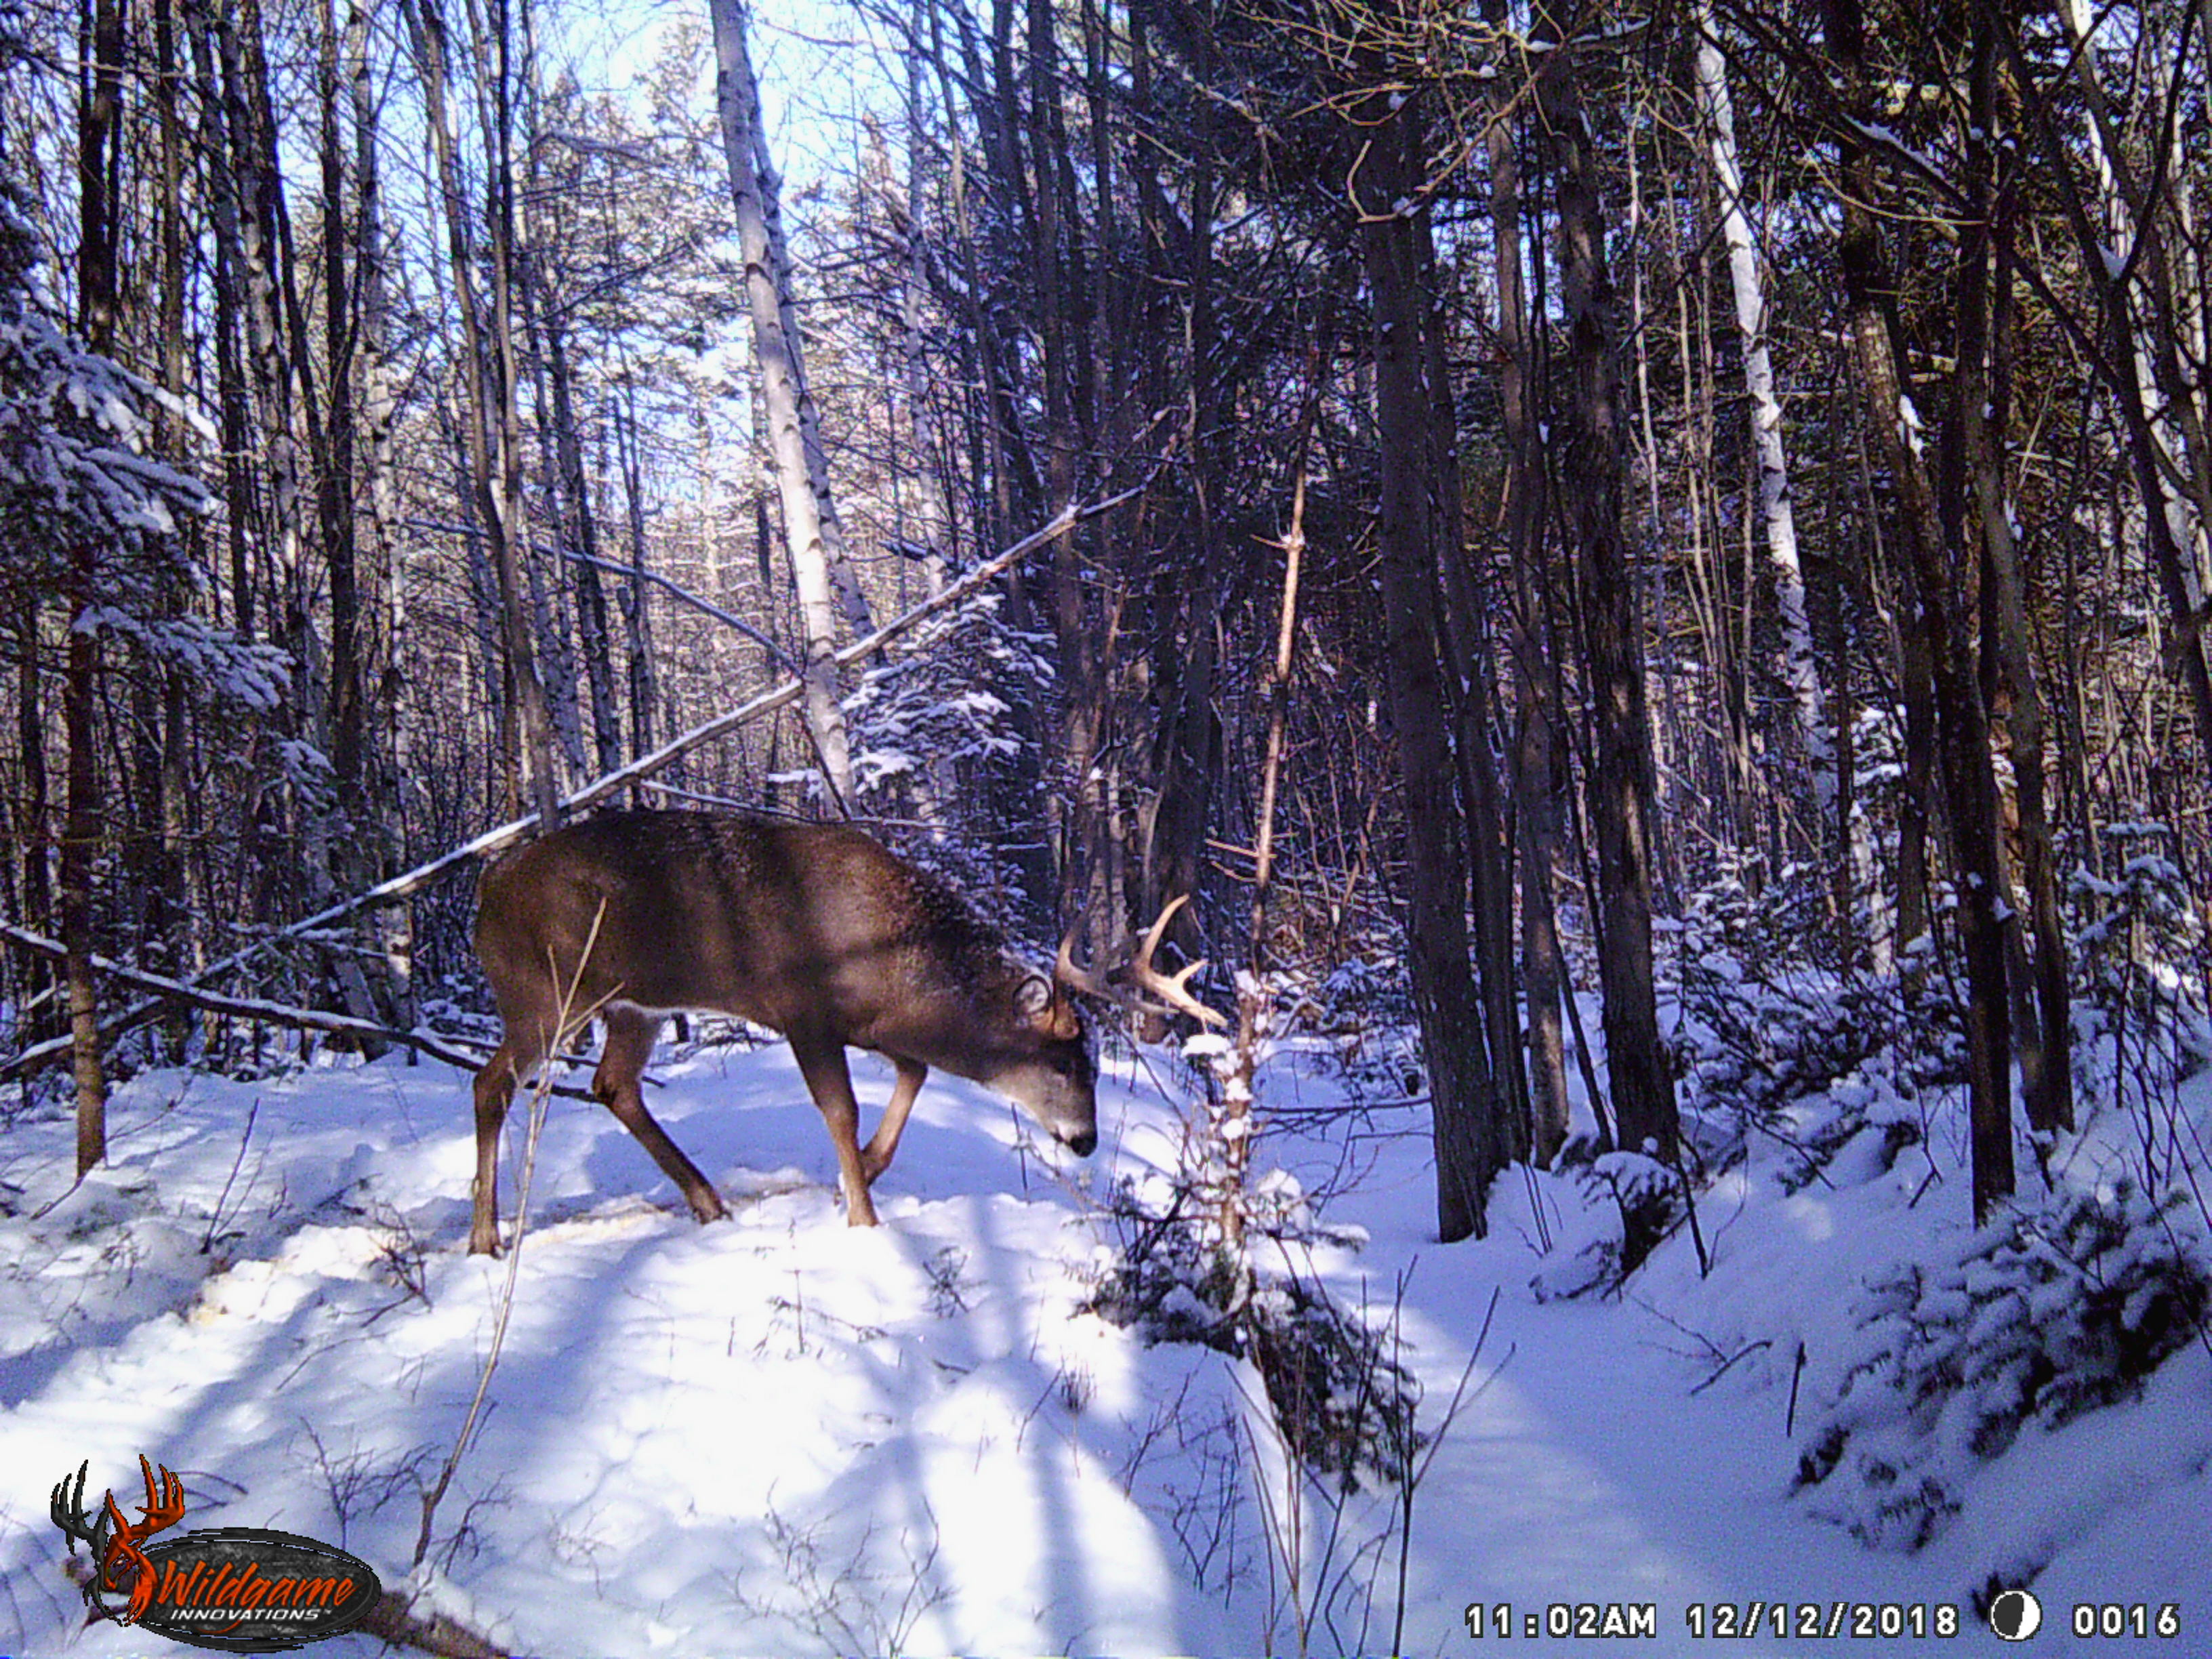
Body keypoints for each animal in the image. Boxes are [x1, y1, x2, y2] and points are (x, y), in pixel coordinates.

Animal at [462, 814, 1212, 1256]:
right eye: (1064, 1065)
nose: (1085, 1141)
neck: (889, 962)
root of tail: (486, 887)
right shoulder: (804, 1011)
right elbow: (841, 1108)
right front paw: (864, 1221)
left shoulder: (872, 1025)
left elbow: (915, 1073)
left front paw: (865, 1175)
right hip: (542, 991)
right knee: (491, 1082)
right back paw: (485, 1237)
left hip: (631, 1006)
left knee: (614, 1085)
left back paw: (709, 1201)